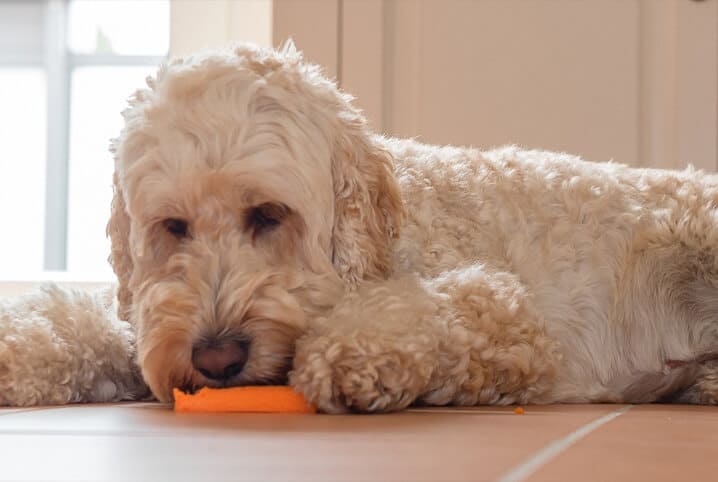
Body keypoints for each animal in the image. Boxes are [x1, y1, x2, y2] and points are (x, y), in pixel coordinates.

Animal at [1, 43, 718, 410]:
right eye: (174, 226)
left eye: (268, 215)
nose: (217, 357)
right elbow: (88, 321)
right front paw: (20, 350)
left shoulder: (512, 320)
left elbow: (425, 314)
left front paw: (349, 356)